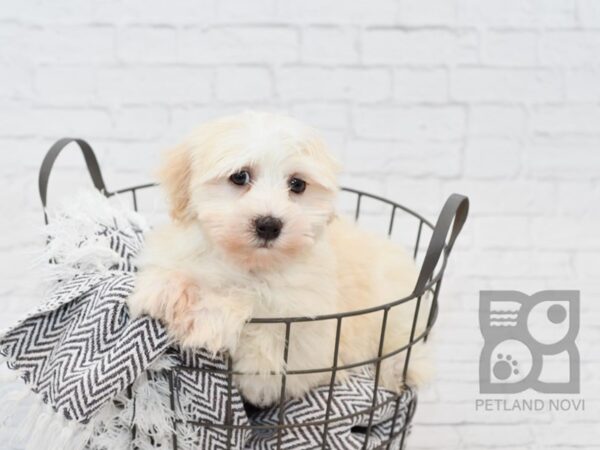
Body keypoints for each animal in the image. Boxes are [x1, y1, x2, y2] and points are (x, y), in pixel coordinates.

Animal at [129, 110, 432, 406]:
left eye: (297, 184)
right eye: (240, 177)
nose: (268, 225)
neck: (250, 263)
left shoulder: (304, 336)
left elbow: (257, 318)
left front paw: (209, 315)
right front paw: (167, 289)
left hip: (396, 319)